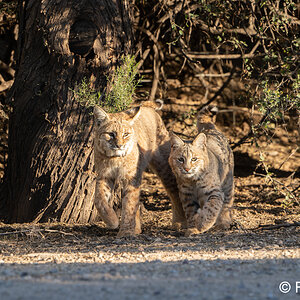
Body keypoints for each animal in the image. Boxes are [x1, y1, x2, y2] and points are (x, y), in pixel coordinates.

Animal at [93, 104, 185, 238]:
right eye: (111, 134)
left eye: (125, 134)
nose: (119, 145)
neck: (115, 158)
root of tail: (148, 107)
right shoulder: (104, 175)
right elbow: (99, 199)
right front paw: (112, 221)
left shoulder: (131, 177)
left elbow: (129, 203)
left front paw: (126, 231)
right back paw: (136, 228)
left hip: (164, 168)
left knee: (174, 193)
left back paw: (180, 222)